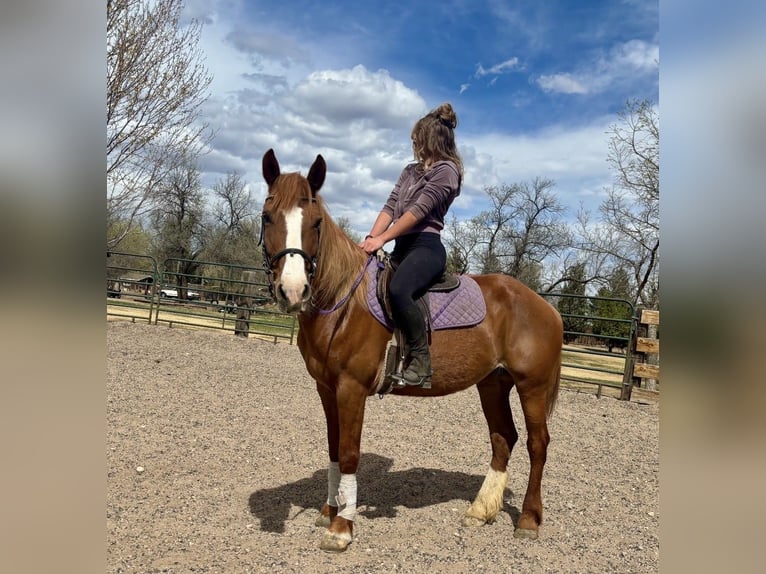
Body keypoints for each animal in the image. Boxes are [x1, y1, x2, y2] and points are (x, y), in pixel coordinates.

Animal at [259, 148, 563, 553]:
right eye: (267, 216)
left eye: (316, 222)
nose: (293, 291)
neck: (343, 300)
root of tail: (545, 306)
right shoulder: (326, 388)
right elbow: (333, 448)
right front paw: (328, 511)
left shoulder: (351, 388)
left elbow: (350, 453)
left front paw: (341, 527)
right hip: (493, 383)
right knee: (503, 438)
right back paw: (481, 510)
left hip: (532, 386)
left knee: (537, 444)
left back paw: (528, 519)